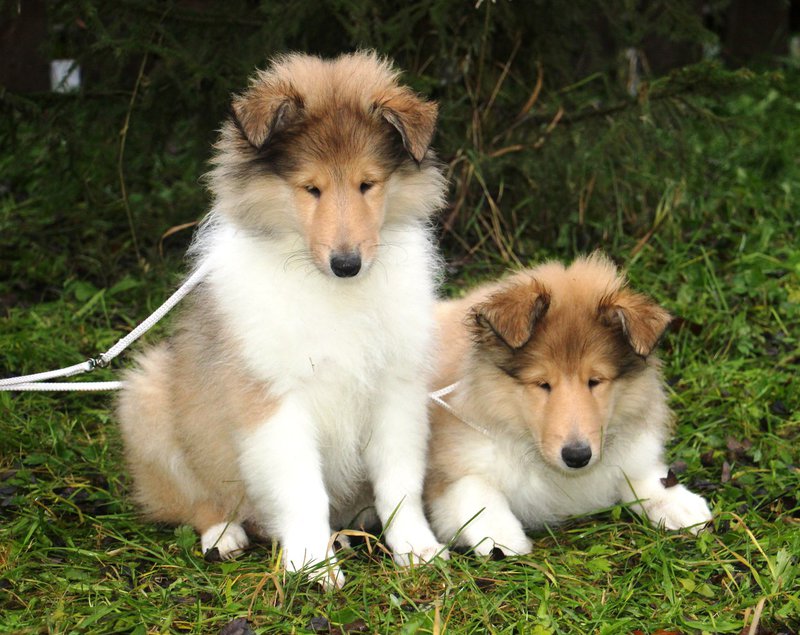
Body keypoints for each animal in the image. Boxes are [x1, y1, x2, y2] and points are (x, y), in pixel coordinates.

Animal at [117, 52, 450, 588]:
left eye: (367, 184)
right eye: (310, 188)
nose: (346, 263)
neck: (332, 292)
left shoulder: (396, 389)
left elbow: (400, 482)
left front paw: (417, 550)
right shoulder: (273, 400)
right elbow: (301, 489)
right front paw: (314, 565)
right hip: (147, 399)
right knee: (197, 500)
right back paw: (224, 535)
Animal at [424, 253, 712, 556]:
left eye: (595, 381)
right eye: (542, 383)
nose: (577, 457)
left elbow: (636, 471)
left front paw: (679, 504)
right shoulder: (448, 462)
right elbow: (472, 486)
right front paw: (502, 537)